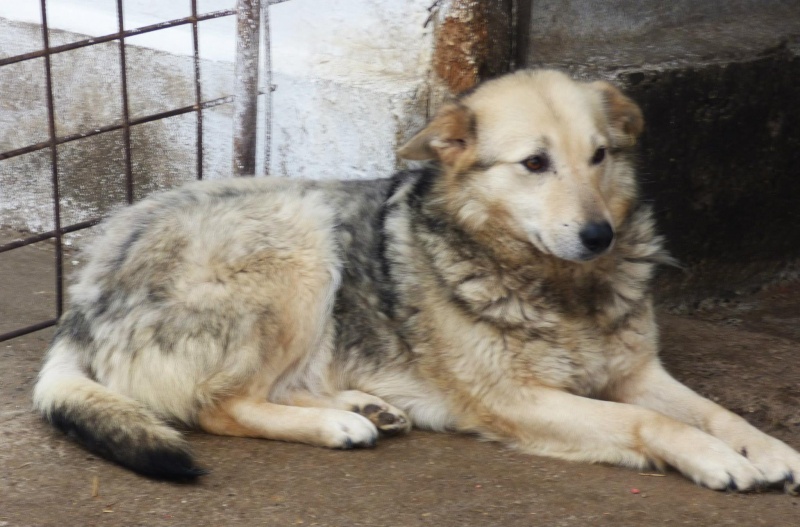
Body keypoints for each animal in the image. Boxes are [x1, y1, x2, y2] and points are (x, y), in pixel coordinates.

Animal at [32, 69, 800, 490]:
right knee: (219, 404)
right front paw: (713, 459)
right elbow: (649, 422)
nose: (599, 236)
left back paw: (366, 405)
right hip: (301, 242)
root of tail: (84, 296)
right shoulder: (517, 399)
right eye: (535, 163)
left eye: (600, 156)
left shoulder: (638, 372)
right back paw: (340, 423)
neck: (558, 287)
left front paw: (767, 447)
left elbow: (717, 411)